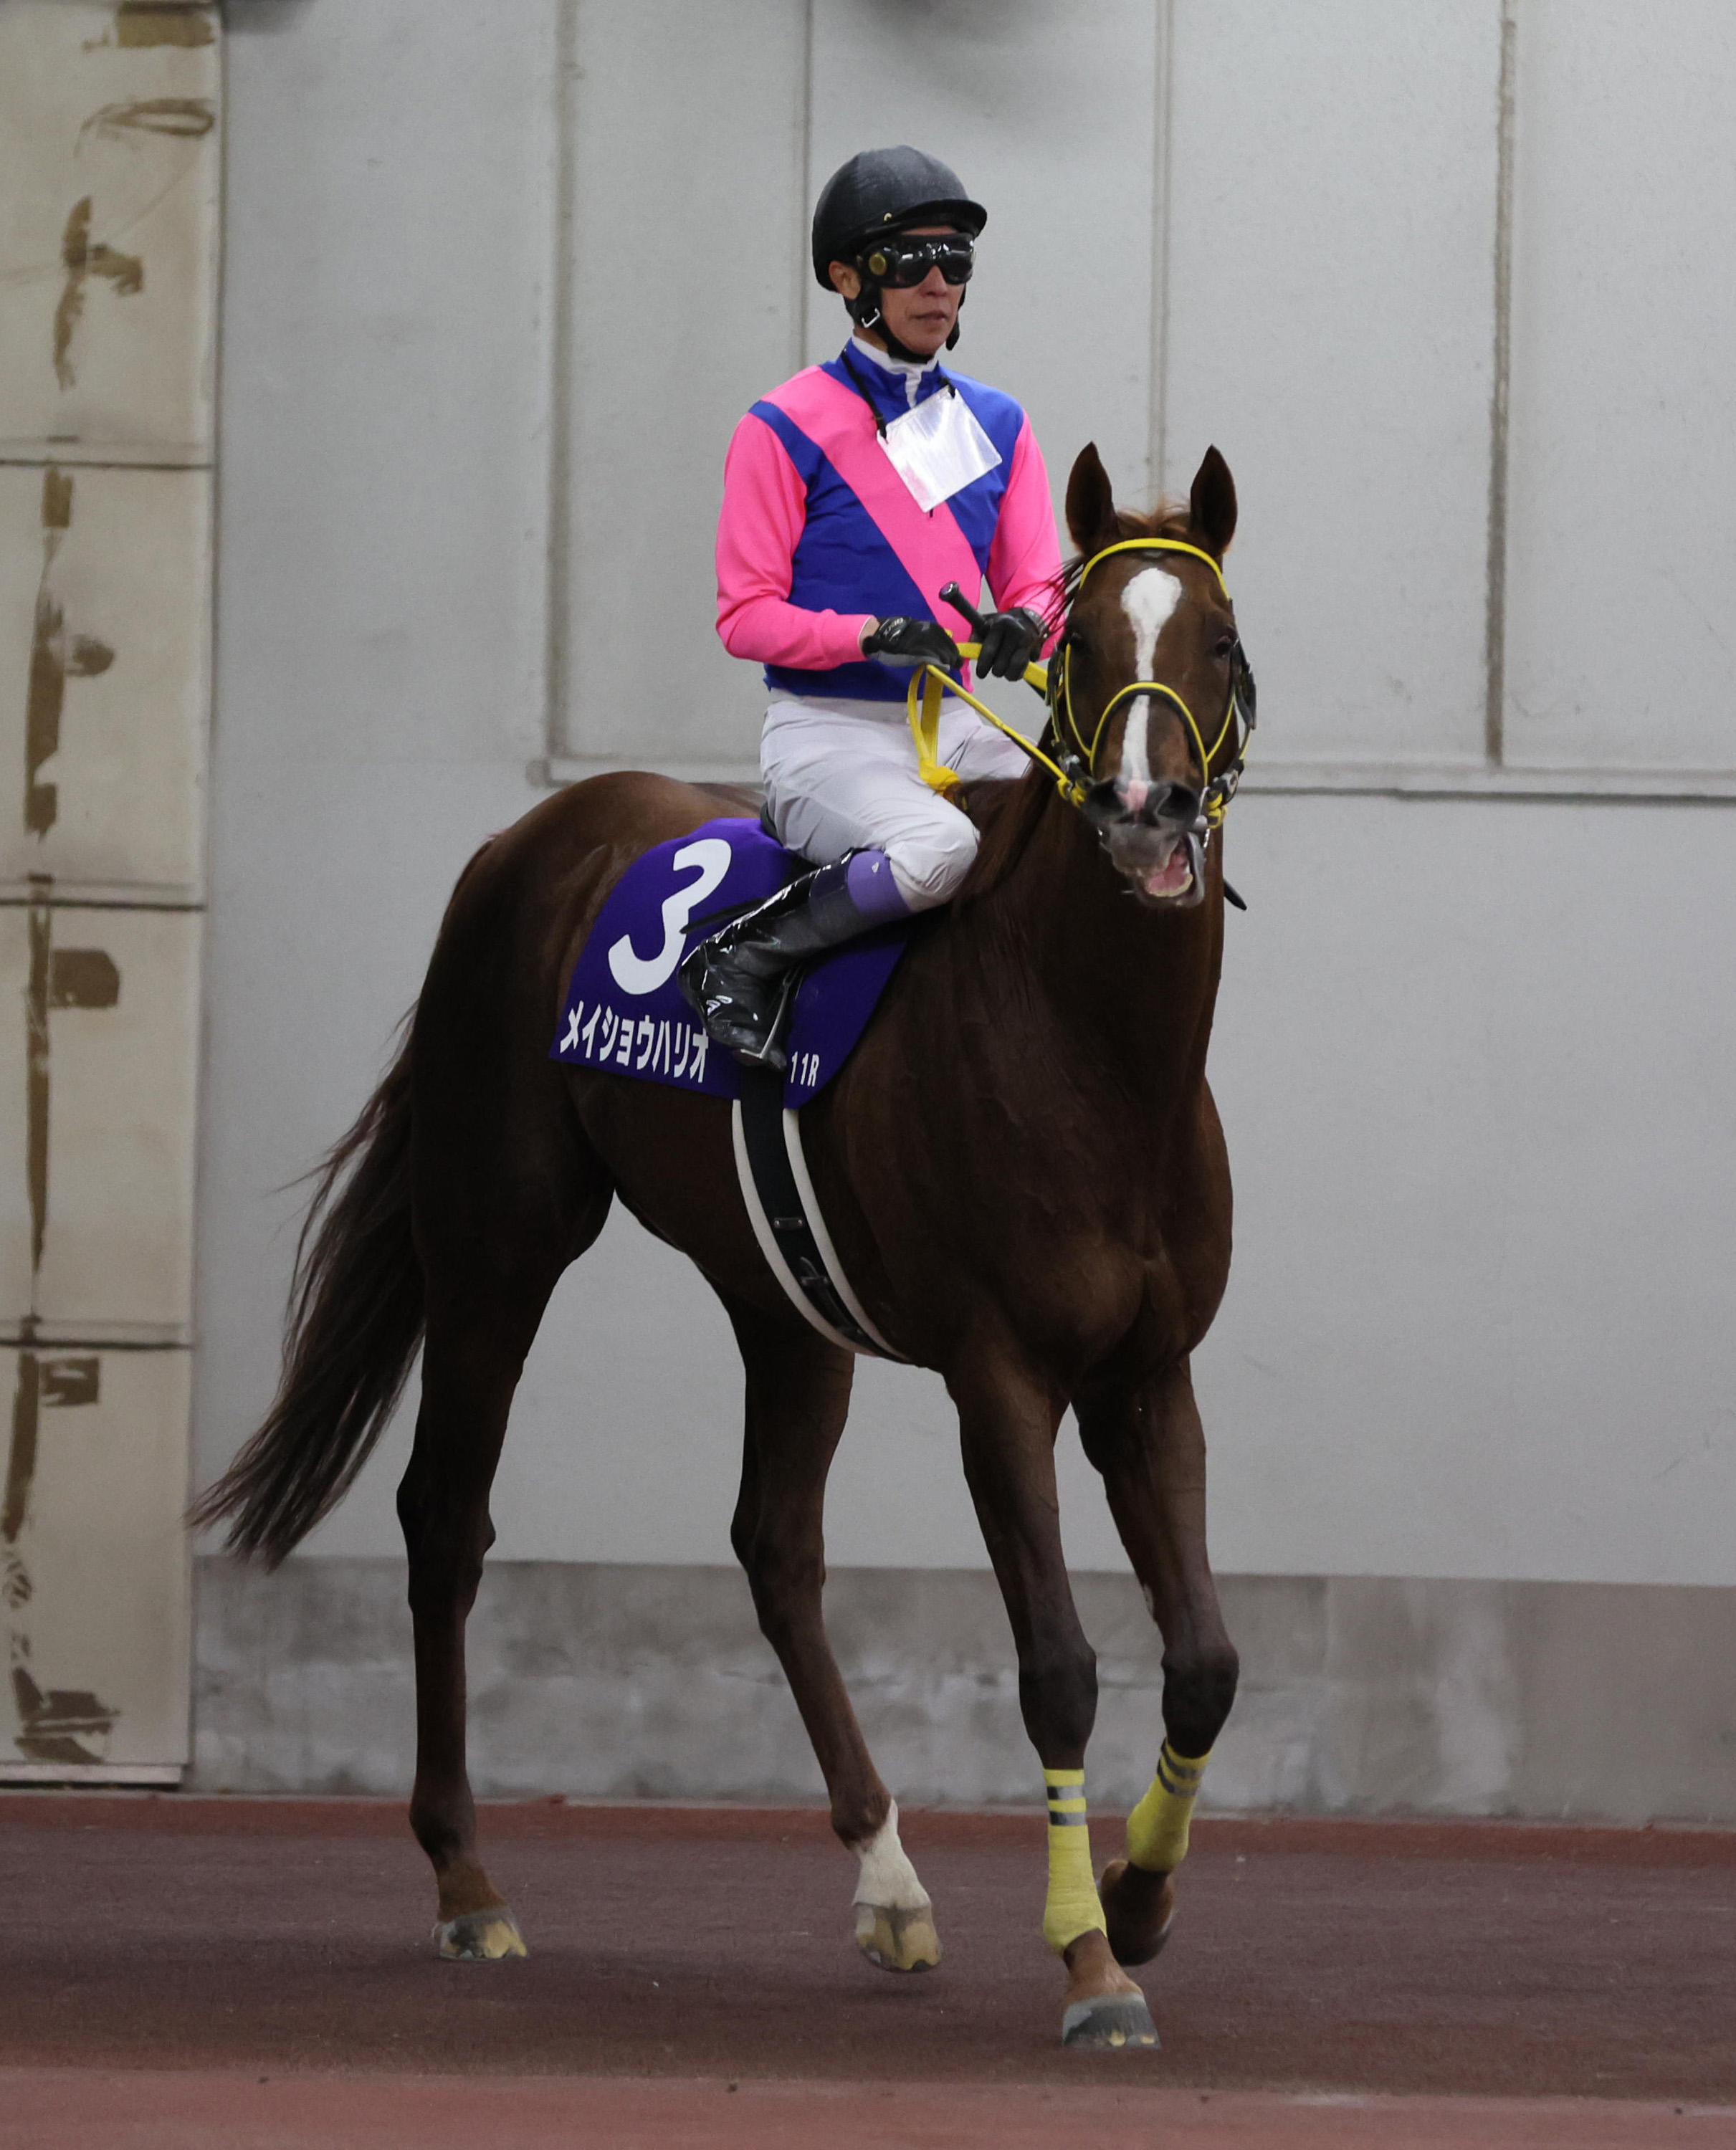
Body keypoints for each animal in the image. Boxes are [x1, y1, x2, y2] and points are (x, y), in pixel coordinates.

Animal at [193, 441, 1250, 2051]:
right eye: (1079, 653)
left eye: (1218, 641)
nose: (1146, 810)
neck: (1092, 1056)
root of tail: (527, 839)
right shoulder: (1000, 1374)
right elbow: (1059, 1666)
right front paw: (1087, 1961)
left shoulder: (1145, 1374)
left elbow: (1201, 1663)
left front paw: (1137, 1899)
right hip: (497, 1240)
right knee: (445, 1517)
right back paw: (466, 1881)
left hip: (782, 1301)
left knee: (774, 1547)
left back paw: (886, 1878)